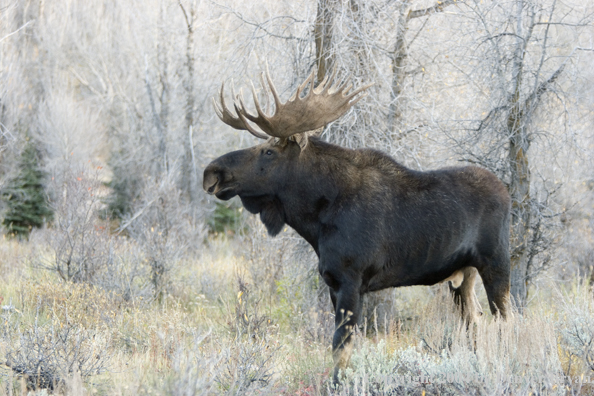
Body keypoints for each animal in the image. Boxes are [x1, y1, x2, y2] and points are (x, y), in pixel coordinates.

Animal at [202, 68, 508, 384]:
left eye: (268, 152)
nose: (212, 172)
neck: (317, 218)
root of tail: (505, 190)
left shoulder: (350, 280)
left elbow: (340, 348)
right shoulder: (332, 284)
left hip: (496, 262)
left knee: (505, 322)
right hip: (461, 276)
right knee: (475, 321)